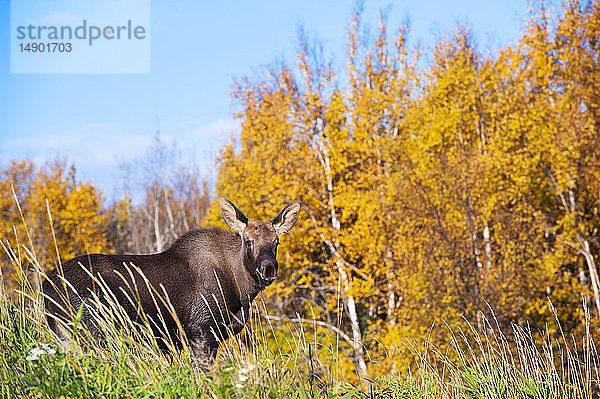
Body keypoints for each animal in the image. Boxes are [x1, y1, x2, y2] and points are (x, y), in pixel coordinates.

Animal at [43, 199, 300, 362]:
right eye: (248, 241)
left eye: (276, 242)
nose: (268, 269)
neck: (241, 293)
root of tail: (45, 287)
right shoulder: (201, 329)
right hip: (93, 330)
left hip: (65, 335)